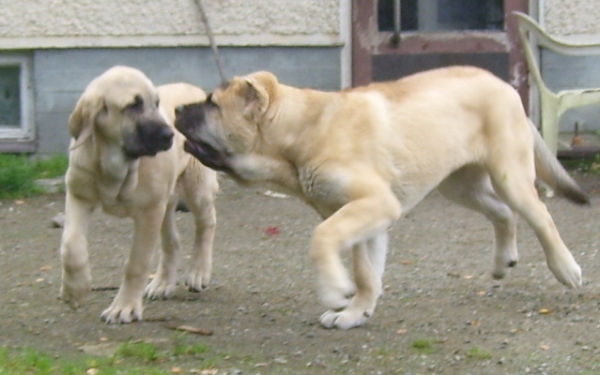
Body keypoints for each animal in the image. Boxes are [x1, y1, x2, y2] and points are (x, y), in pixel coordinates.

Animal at [59, 66, 219, 324]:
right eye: (133, 105)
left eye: (157, 103)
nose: (170, 135)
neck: (116, 165)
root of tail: (194, 90)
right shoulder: (78, 197)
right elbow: (71, 245)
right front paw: (75, 290)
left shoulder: (148, 213)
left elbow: (136, 263)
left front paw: (123, 307)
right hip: (165, 201)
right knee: (172, 241)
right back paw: (163, 283)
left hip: (196, 186)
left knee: (207, 224)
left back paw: (198, 272)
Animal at [176, 67, 588, 328]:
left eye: (211, 103)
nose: (178, 106)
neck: (304, 130)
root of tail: (504, 84)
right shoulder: (363, 217)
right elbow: (365, 270)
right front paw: (356, 313)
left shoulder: (372, 205)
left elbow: (322, 238)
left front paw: (335, 292)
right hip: (458, 185)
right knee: (503, 213)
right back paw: (504, 260)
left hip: (509, 175)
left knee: (540, 216)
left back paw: (566, 268)